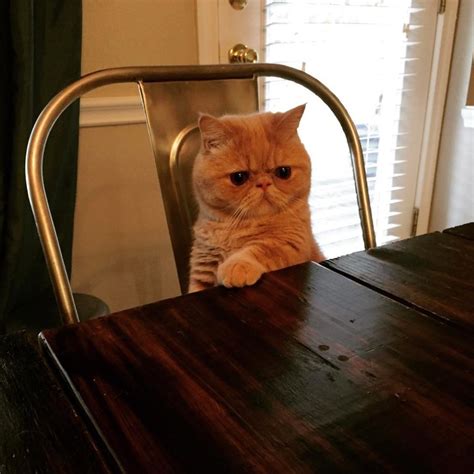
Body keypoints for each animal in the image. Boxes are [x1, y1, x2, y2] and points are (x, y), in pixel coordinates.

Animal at [187, 103, 324, 292]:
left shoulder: (292, 242)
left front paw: (236, 266)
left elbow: (260, 249)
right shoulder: (202, 270)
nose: (263, 183)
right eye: (239, 177)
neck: (237, 228)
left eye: (283, 172)